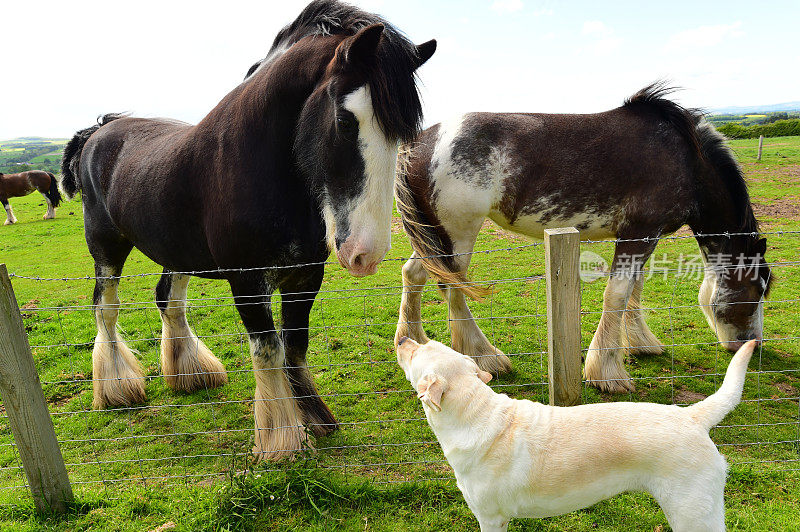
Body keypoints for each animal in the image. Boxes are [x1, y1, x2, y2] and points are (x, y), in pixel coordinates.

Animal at [59, 0, 434, 458]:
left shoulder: (305, 276)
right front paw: (282, 438)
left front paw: (314, 415)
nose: (367, 254)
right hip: (107, 248)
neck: (267, 168)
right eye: (346, 121)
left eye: (401, 133)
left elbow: (294, 344)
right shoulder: (247, 282)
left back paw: (191, 373)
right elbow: (268, 350)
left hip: (176, 253)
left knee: (169, 301)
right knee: (106, 308)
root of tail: (99, 130)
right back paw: (117, 388)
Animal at [396, 85, 772, 394]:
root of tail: (419, 142)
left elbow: (634, 289)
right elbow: (617, 294)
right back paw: (485, 356)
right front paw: (607, 372)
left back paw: (412, 341)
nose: (752, 344)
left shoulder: (640, 236)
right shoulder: (639, 233)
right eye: (757, 290)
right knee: (452, 287)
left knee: (414, 274)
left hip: (432, 236)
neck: (686, 160)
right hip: (458, 233)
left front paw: (640, 343)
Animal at [398, 338, 756, 528]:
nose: (403, 340)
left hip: (691, 511)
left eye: (417, 351)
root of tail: (691, 415)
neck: (473, 411)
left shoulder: (490, 517)